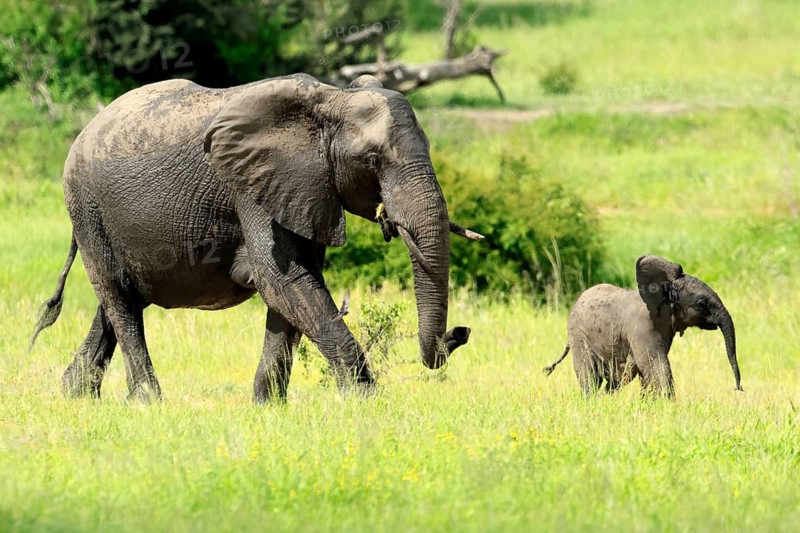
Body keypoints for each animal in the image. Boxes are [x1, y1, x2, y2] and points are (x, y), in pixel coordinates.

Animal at [30, 73, 481, 402]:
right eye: (372, 160)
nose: (460, 333)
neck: (330, 100)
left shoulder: (305, 187)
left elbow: (293, 291)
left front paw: (268, 407)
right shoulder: (251, 187)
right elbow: (283, 280)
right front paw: (366, 402)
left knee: (119, 300)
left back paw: (75, 396)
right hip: (86, 206)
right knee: (119, 299)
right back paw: (147, 403)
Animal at [543, 255, 742, 397]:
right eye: (701, 304)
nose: (737, 388)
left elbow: (647, 371)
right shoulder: (643, 328)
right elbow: (656, 365)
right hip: (578, 336)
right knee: (590, 377)